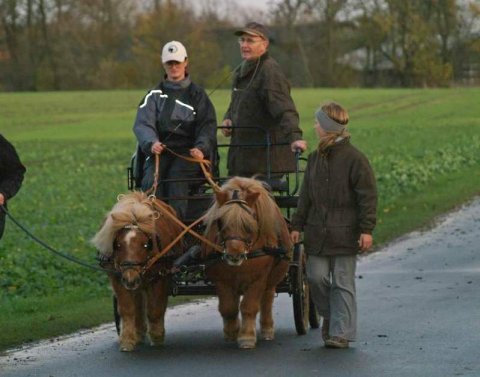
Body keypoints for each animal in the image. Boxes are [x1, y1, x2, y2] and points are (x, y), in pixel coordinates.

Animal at [91, 192, 183, 352]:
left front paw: (157, 337)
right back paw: (139, 332)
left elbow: (155, 309)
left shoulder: (160, 278)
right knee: (139, 304)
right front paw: (127, 340)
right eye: (118, 245)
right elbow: (127, 309)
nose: (131, 279)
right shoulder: (118, 278)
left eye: (145, 245)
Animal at [202, 176, 292, 346]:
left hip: (271, 279)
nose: (234, 255)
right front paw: (232, 332)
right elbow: (228, 307)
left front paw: (247, 337)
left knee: (267, 299)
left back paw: (267, 329)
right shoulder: (222, 280)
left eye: (249, 222)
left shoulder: (258, 278)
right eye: (220, 221)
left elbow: (249, 306)